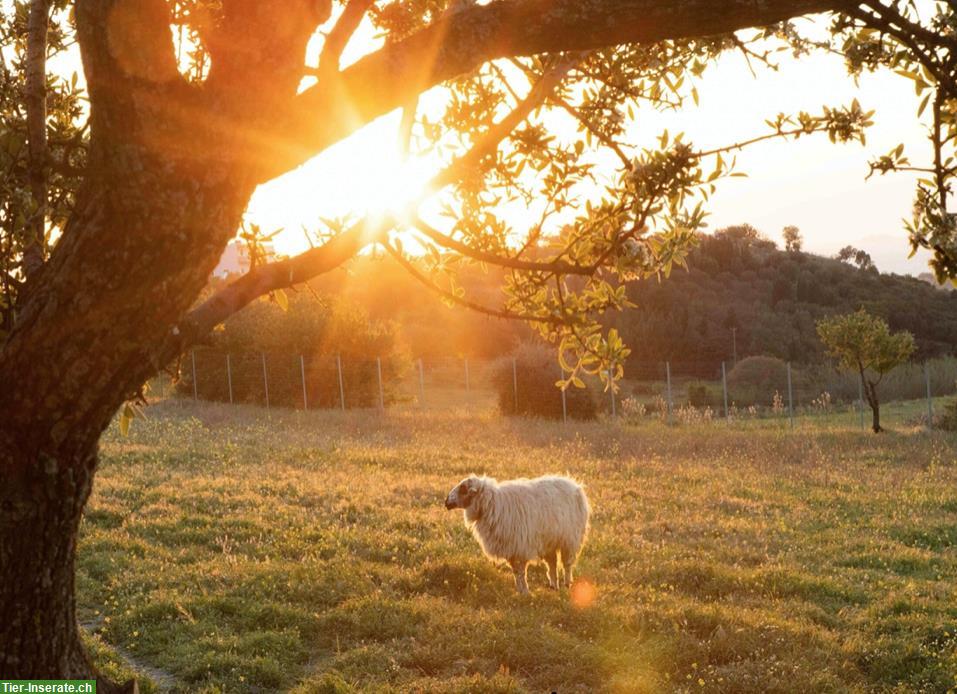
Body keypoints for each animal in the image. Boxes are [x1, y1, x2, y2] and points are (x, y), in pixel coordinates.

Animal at [442, 476, 592, 596]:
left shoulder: (520, 548)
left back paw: (567, 585)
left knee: (567, 564)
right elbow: (515, 572)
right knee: (553, 564)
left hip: (570, 539)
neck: (491, 504)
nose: (446, 502)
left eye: (463, 488)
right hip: (550, 542)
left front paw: (525, 592)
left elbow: (520, 572)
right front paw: (520, 591)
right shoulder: (511, 550)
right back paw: (554, 586)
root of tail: (573, 483)